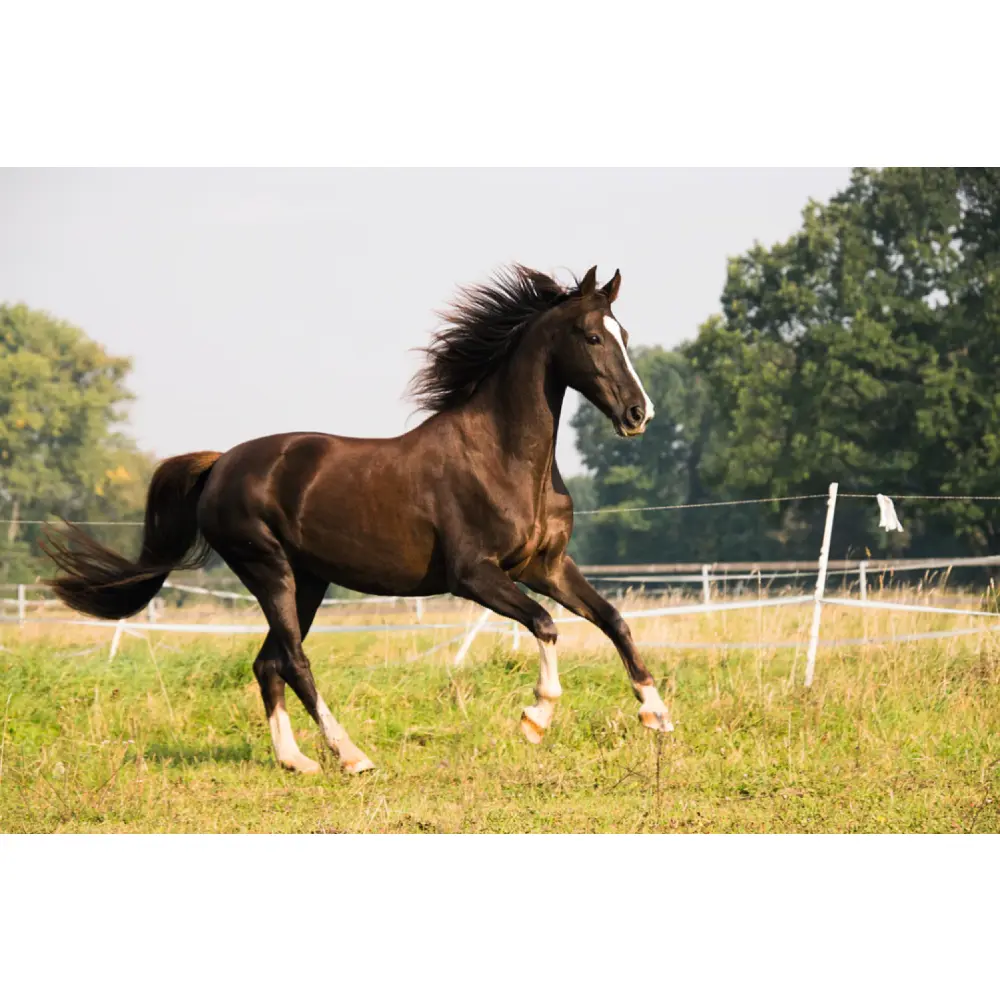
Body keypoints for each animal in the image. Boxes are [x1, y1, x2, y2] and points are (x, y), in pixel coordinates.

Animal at [43, 264, 673, 775]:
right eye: (592, 336)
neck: (503, 458)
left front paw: (657, 714)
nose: (638, 414)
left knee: (267, 662)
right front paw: (535, 719)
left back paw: (296, 761)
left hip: (308, 581)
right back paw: (351, 755)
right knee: (293, 660)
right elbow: (545, 624)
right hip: (268, 570)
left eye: (624, 335)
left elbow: (613, 619)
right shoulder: (474, 576)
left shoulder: (546, 566)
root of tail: (220, 463)